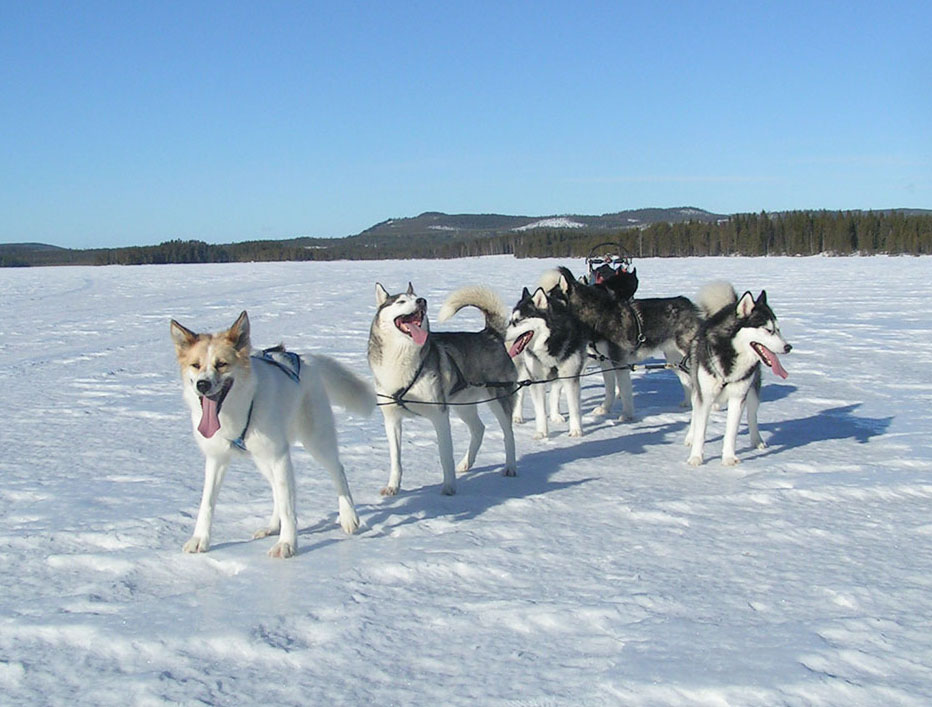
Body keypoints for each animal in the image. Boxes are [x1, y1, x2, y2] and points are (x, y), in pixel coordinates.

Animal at [169, 310, 374, 560]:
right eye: (196, 365)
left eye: (222, 364)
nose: (203, 385)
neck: (238, 409)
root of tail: (307, 360)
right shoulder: (217, 459)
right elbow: (206, 503)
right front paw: (200, 539)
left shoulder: (279, 457)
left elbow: (288, 506)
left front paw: (287, 543)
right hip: (264, 459)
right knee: (277, 490)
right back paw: (272, 526)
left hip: (315, 441)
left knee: (337, 472)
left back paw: (348, 516)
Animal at [370, 284, 516, 498]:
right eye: (401, 301)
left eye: (416, 297)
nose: (422, 301)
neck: (402, 360)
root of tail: (489, 333)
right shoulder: (392, 419)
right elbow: (396, 459)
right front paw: (393, 487)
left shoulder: (439, 415)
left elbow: (445, 456)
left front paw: (449, 488)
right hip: (463, 406)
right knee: (479, 429)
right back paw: (466, 463)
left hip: (499, 400)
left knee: (508, 434)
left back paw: (510, 467)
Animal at [684, 284, 792, 468]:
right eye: (768, 330)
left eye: (778, 329)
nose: (788, 347)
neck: (729, 353)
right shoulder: (705, 396)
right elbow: (700, 430)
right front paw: (696, 457)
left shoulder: (738, 397)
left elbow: (731, 432)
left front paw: (728, 458)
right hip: (697, 390)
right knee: (695, 416)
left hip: (753, 392)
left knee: (752, 416)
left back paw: (757, 440)